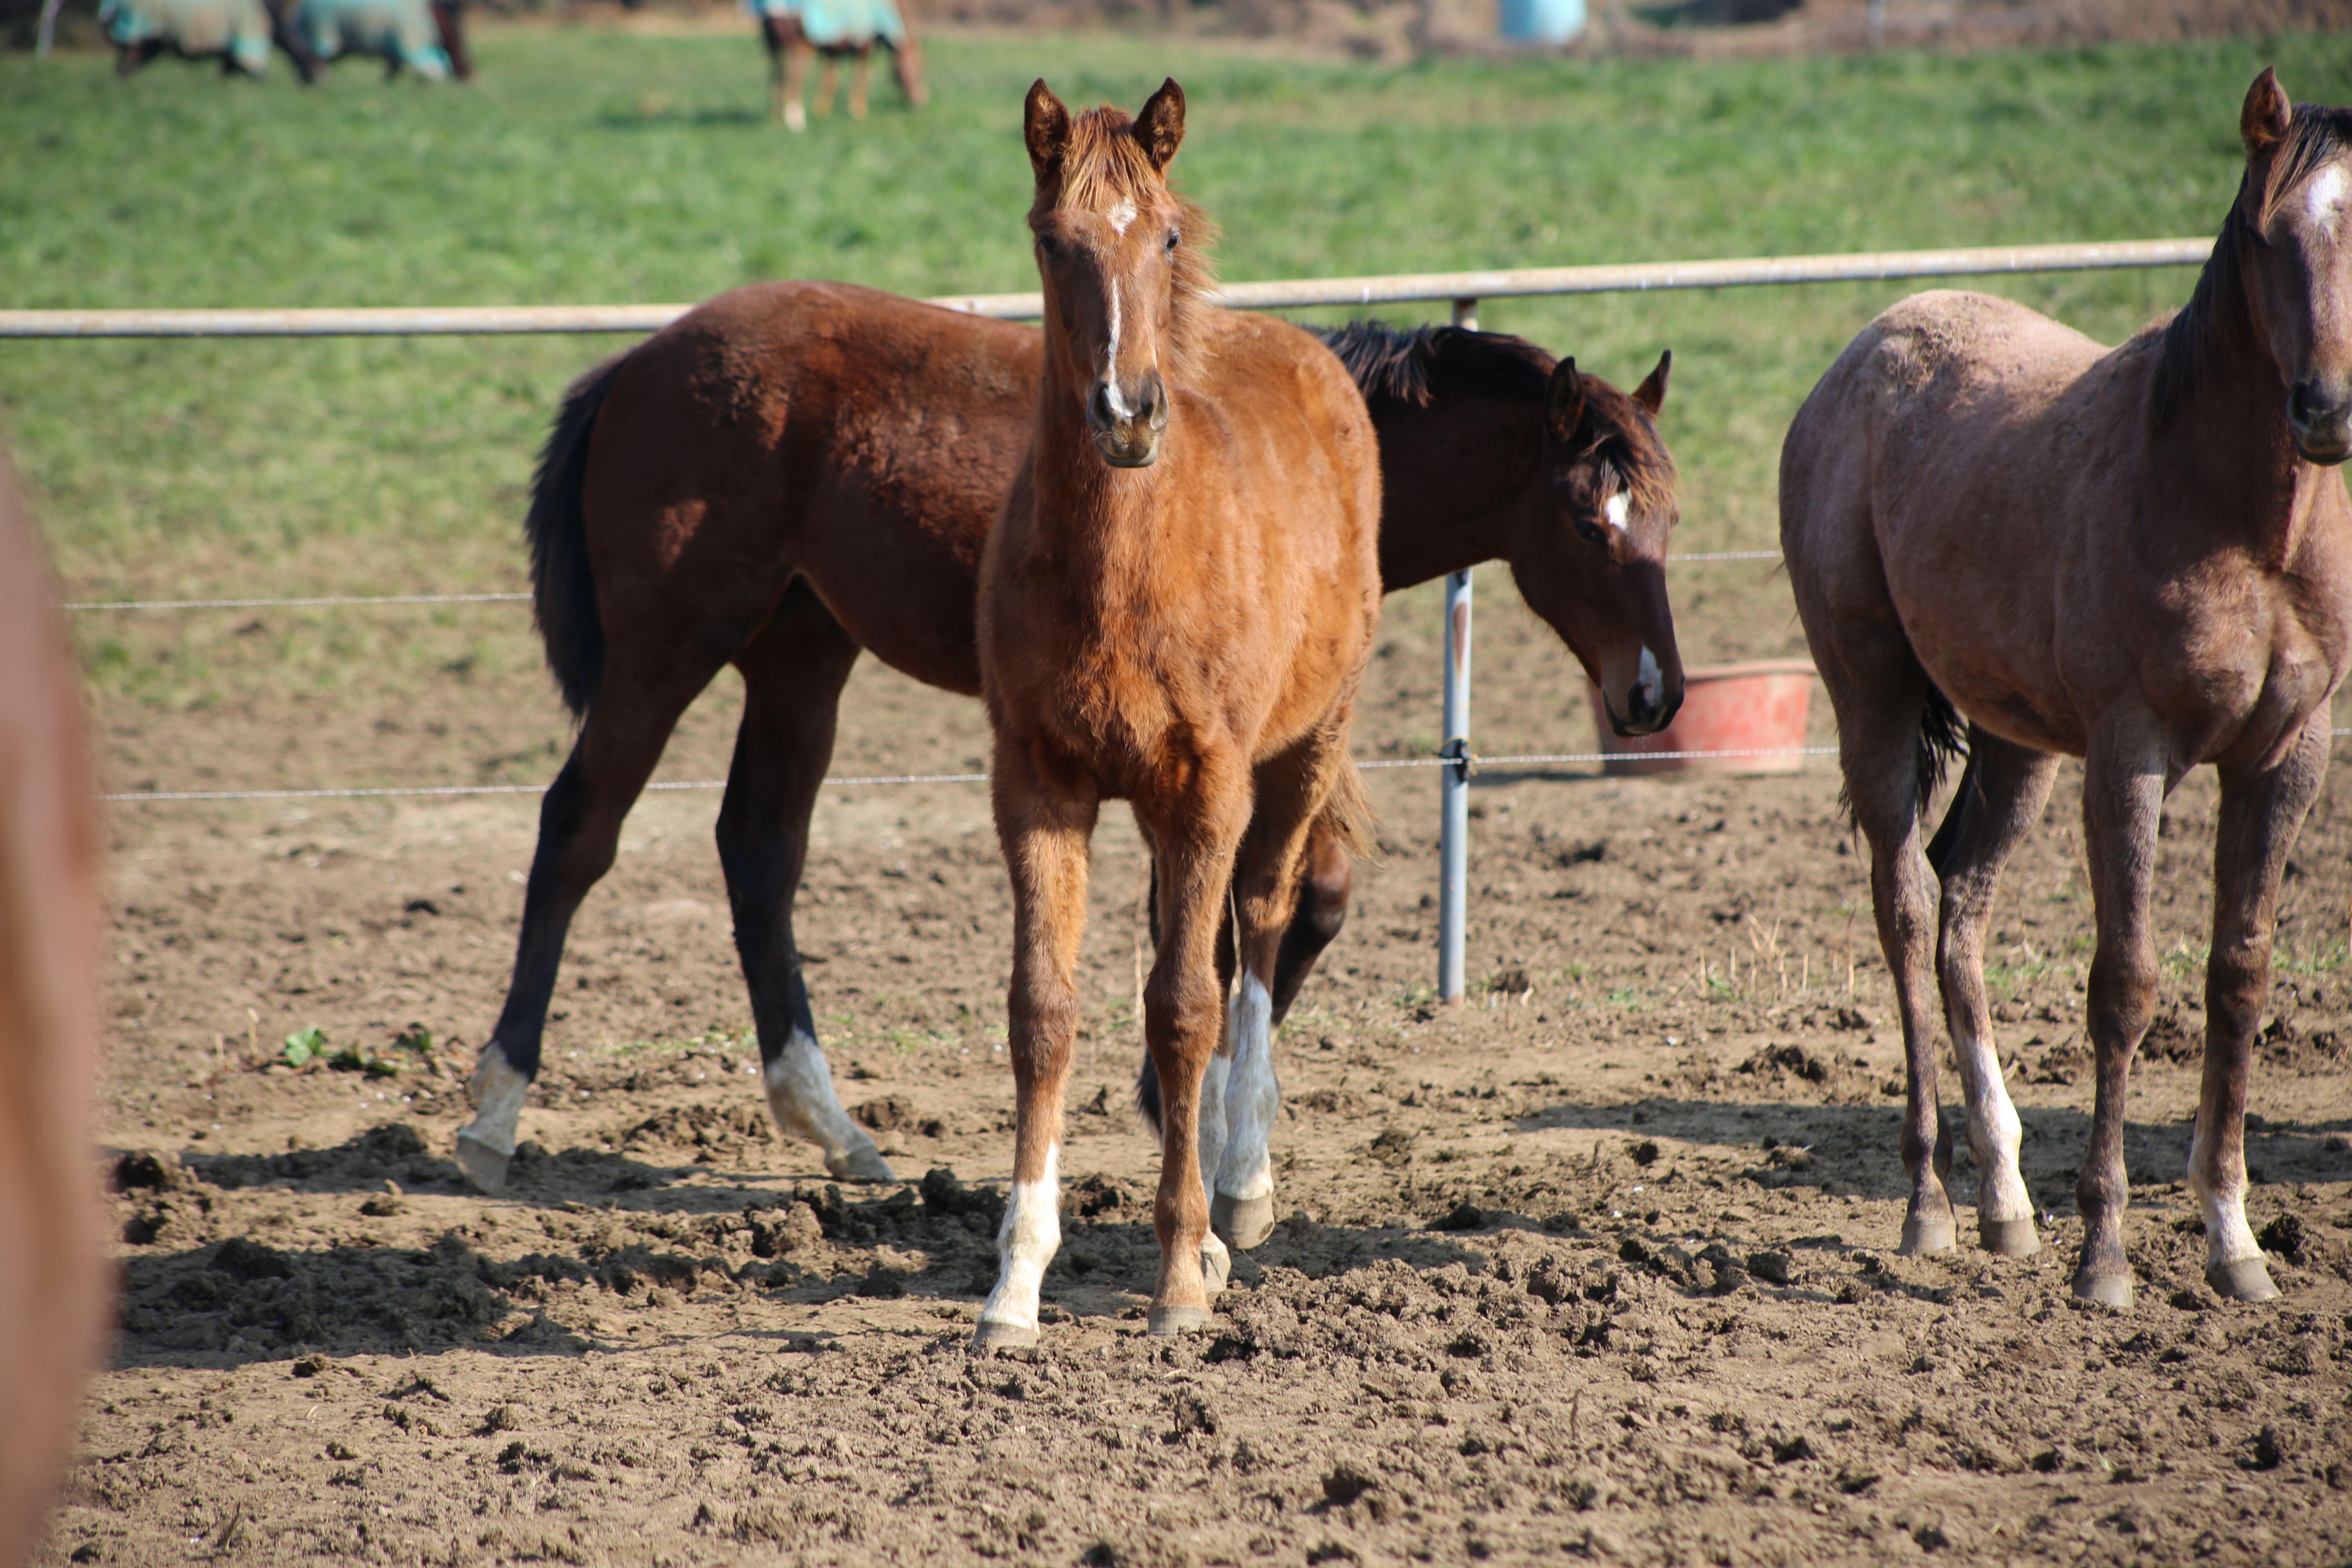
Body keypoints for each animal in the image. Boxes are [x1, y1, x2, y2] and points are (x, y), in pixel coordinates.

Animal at [459, 285, 1684, 1203]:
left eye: (1668, 518)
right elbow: (1221, 920)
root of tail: (638, 362)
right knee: (578, 829)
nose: (1654, 693)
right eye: (1587, 522)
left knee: (758, 852)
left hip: (801, 656)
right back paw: (494, 1115)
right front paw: (1182, 1111)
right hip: (667, 650)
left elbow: (1301, 901)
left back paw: (833, 1126)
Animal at [748, 0, 922, 131]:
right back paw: (796, 120)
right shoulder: (864, 48)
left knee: (775, 78)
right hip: (800, 48)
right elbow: (861, 77)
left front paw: (822, 111)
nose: (920, 101)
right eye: (919, 71)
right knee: (793, 79)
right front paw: (858, 110)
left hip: (773, 48)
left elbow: (830, 81)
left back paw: (777, 117)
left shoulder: (831, 53)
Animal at [969, 76, 1373, 1354]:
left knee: (1259, 927)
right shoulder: (1036, 782)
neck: (1120, 566)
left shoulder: (1208, 787)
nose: (1126, 413)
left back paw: (1237, 1194)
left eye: (1166, 237)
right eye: (1054, 241)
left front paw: (1181, 1280)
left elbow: (1187, 1006)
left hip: (1298, 755)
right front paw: (1014, 1286)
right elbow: (1043, 1011)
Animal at [1778, 67, 2352, 1307]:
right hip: (1873, 701)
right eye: (2268, 233)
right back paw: (1930, 1202)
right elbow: (2125, 983)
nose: (2325, 408)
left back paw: (2003, 1198)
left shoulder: (2283, 756)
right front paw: (2106, 1256)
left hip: (2018, 745)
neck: (2237, 521)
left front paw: (2232, 1238)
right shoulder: (2129, 761)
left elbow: (2238, 978)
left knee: (1959, 906)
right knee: (1905, 903)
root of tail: (1864, 353)